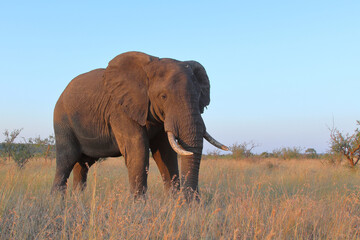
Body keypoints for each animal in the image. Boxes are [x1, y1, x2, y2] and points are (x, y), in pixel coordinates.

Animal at [51, 51, 228, 201]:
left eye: (199, 96)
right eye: (163, 96)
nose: (193, 201)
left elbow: (166, 153)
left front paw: (173, 204)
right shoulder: (120, 109)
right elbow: (138, 149)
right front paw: (139, 207)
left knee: (82, 165)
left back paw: (77, 201)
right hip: (62, 121)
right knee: (66, 159)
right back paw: (58, 203)